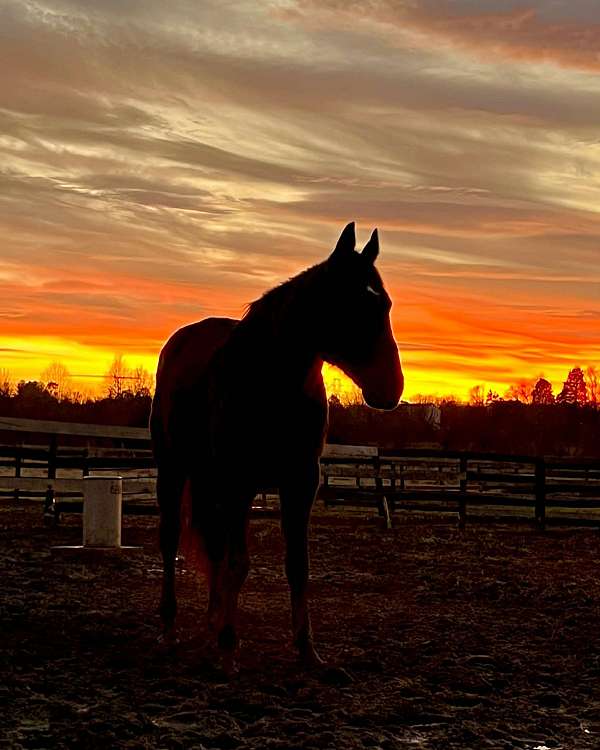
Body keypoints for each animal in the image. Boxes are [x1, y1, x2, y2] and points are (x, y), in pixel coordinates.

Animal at [150, 222, 403, 670]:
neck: (270, 381)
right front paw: (229, 647)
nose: (391, 387)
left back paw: (212, 621)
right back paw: (171, 630)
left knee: (213, 546)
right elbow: (238, 563)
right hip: (175, 470)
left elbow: (296, 565)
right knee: (172, 541)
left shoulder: (300, 483)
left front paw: (307, 650)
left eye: (385, 303)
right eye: (355, 303)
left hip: (209, 480)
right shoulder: (239, 482)